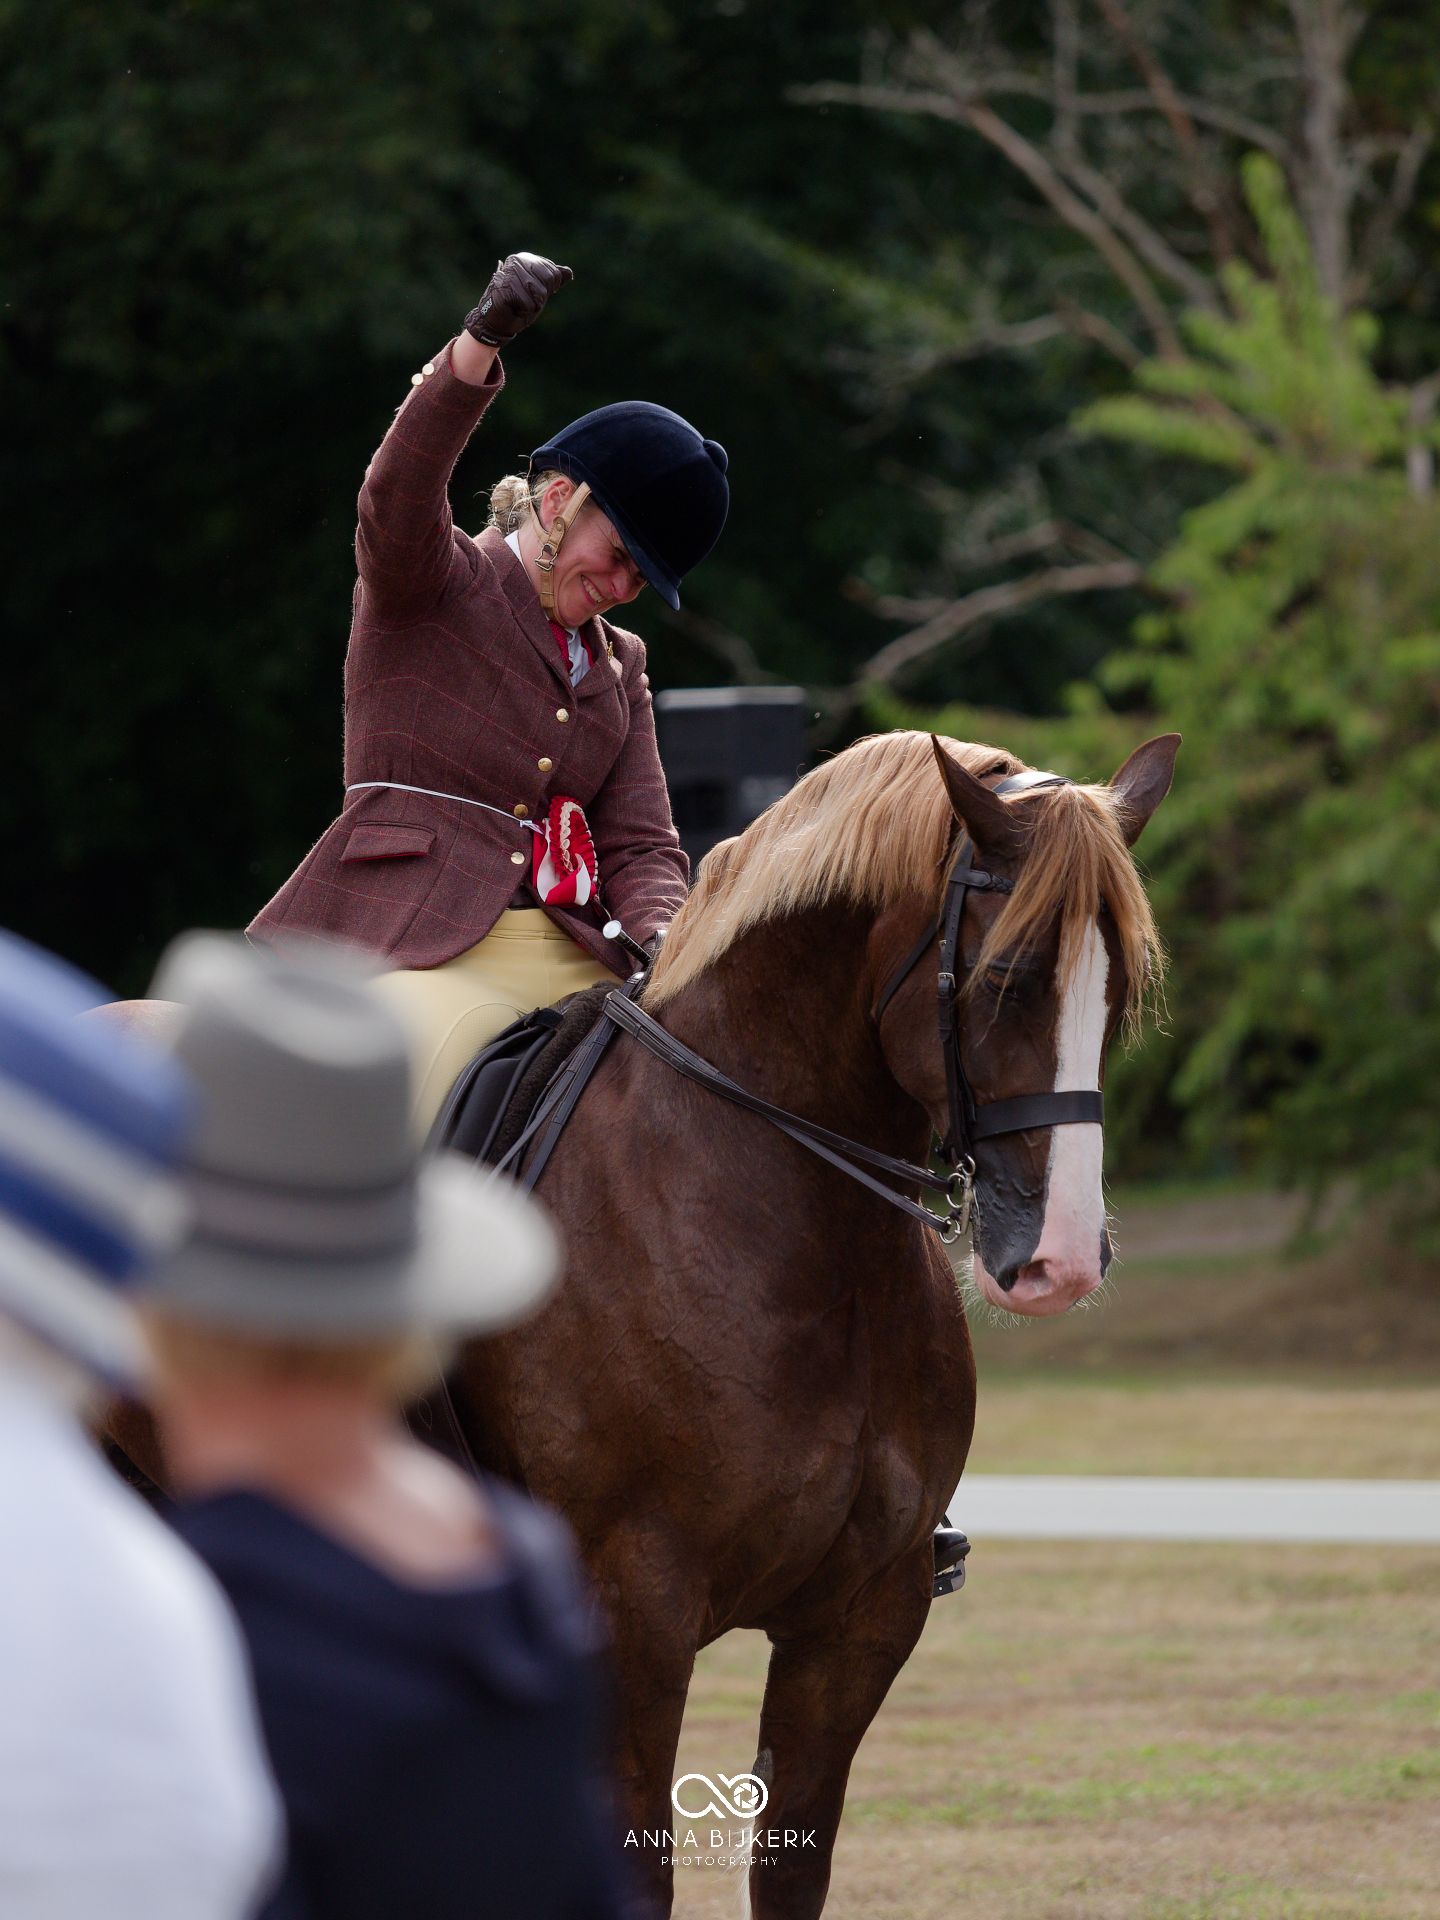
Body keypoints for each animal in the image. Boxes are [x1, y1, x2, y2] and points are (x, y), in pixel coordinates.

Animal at [439, 727, 1178, 1917]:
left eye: (1123, 991)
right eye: (1007, 978)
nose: (1061, 1261)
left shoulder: (860, 1621)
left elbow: (793, 1861)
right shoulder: (632, 1618)